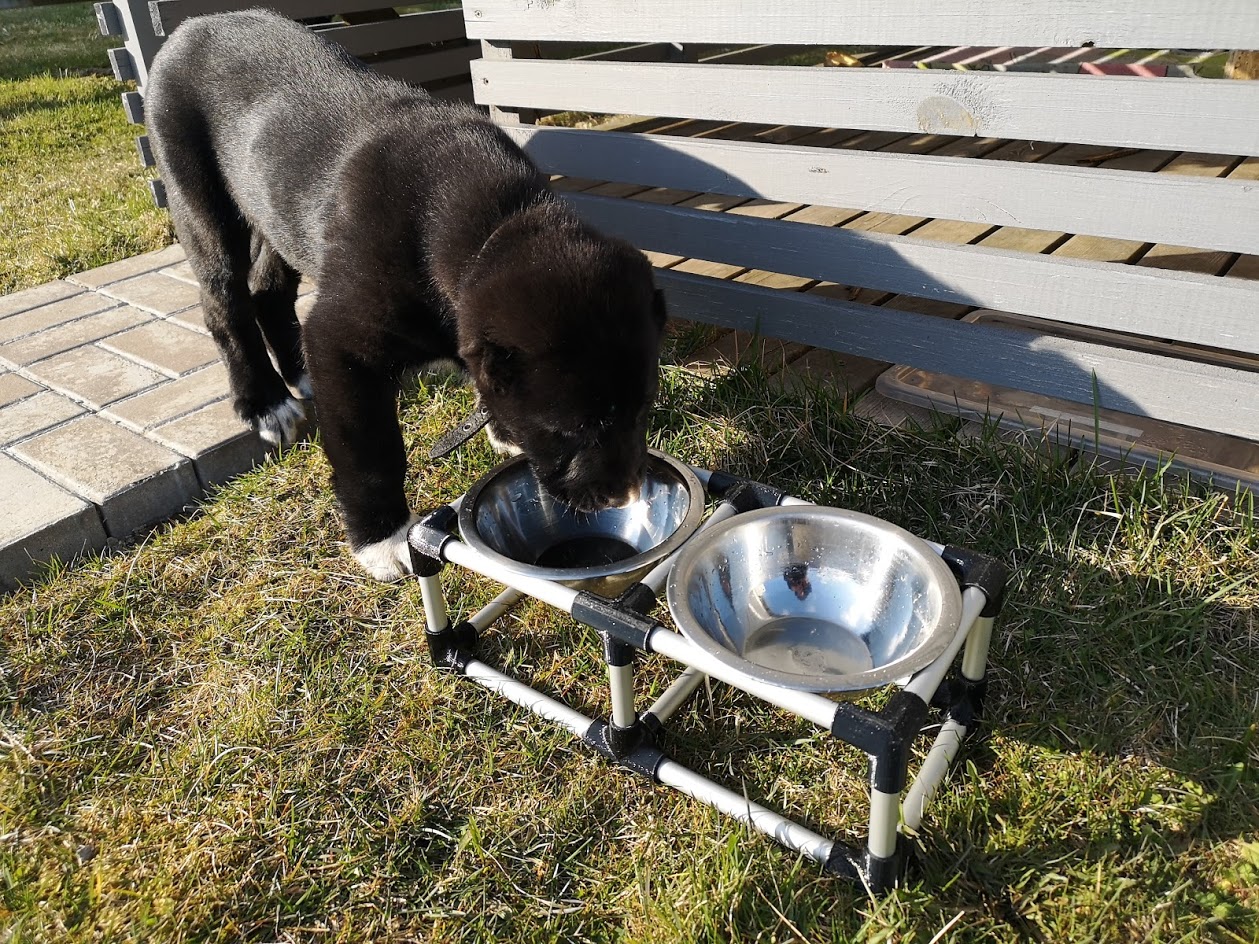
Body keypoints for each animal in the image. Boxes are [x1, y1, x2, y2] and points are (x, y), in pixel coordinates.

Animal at [144, 11, 669, 581]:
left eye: (644, 407)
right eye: (570, 430)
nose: (624, 495)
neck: (492, 225)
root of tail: (191, 25)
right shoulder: (342, 342)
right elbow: (370, 450)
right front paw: (384, 538)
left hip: (274, 209)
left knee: (268, 289)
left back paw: (299, 374)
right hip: (198, 197)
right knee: (225, 302)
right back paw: (264, 401)